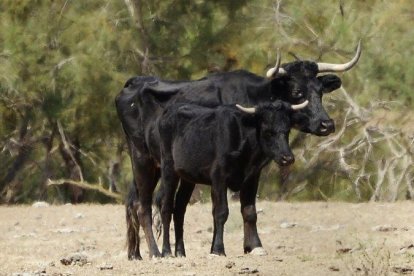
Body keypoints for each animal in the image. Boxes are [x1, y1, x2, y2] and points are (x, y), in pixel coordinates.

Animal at [115, 43, 360, 258]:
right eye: (298, 92)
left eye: (320, 91)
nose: (326, 124)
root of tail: (134, 82)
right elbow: (222, 209)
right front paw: (221, 248)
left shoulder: (254, 171)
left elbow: (249, 210)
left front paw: (254, 246)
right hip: (143, 159)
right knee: (143, 205)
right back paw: (155, 252)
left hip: (173, 171)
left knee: (151, 203)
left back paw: (139, 253)